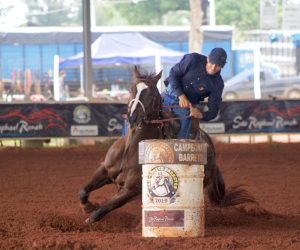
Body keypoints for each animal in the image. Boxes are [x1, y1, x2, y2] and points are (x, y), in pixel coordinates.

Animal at [78, 66, 254, 223]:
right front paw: (87, 206)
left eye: (150, 94)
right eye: (132, 89)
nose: (132, 117)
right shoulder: (104, 170)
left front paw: (91, 215)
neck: (132, 149)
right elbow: (83, 192)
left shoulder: (131, 190)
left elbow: (101, 210)